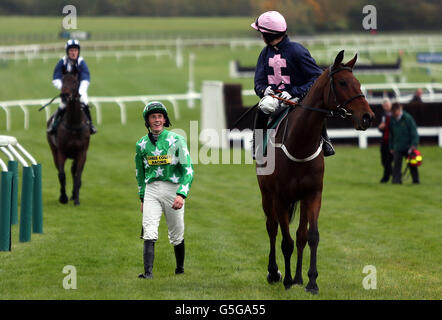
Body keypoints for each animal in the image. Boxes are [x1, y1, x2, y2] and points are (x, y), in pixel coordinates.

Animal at [47, 71, 90, 206]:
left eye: (75, 82)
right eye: (63, 80)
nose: (65, 95)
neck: (74, 124)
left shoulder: (82, 152)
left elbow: (78, 175)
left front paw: (76, 199)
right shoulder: (61, 152)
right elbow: (61, 175)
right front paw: (63, 197)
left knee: (73, 170)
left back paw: (73, 194)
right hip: (53, 150)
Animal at [258, 50, 374, 296]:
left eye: (358, 83)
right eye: (342, 83)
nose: (367, 117)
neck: (299, 144)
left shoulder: (313, 194)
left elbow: (310, 236)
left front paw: (310, 281)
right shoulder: (280, 197)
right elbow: (286, 241)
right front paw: (286, 279)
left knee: (300, 235)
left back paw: (299, 277)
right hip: (266, 194)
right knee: (272, 228)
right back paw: (274, 272)